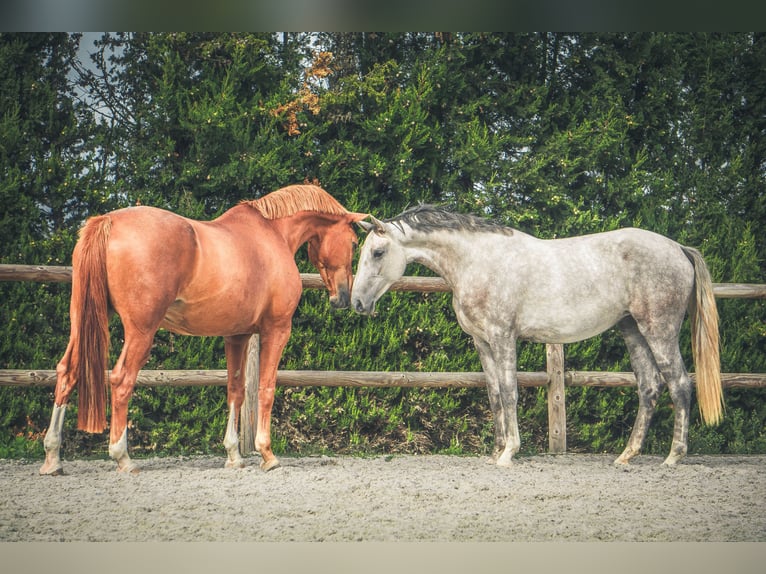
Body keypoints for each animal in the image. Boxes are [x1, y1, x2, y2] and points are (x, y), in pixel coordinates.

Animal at [39, 186, 368, 476]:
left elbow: (236, 389)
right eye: (354, 243)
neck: (272, 235)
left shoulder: (236, 335)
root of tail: (108, 221)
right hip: (141, 332)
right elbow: (266, 388)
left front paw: (234, 455)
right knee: (121, 380)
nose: (343, 297)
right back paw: (123, 458)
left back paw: (53, 458)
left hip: (81, 323)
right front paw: (267, 454)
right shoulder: (276, 330)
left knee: (67, 372)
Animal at [354, 207, 728, 468]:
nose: (357, 302)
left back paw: (673, 457)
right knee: (649, 387)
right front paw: (496, 451)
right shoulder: (482, 342)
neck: (478, 261)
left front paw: (509, 453)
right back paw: (626, 455)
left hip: (659, 329)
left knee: (679, 384)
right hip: (633, 329)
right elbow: (493, 395)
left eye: (377, 253)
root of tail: (678, 248)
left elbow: (509, 392)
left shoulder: (503, 337)